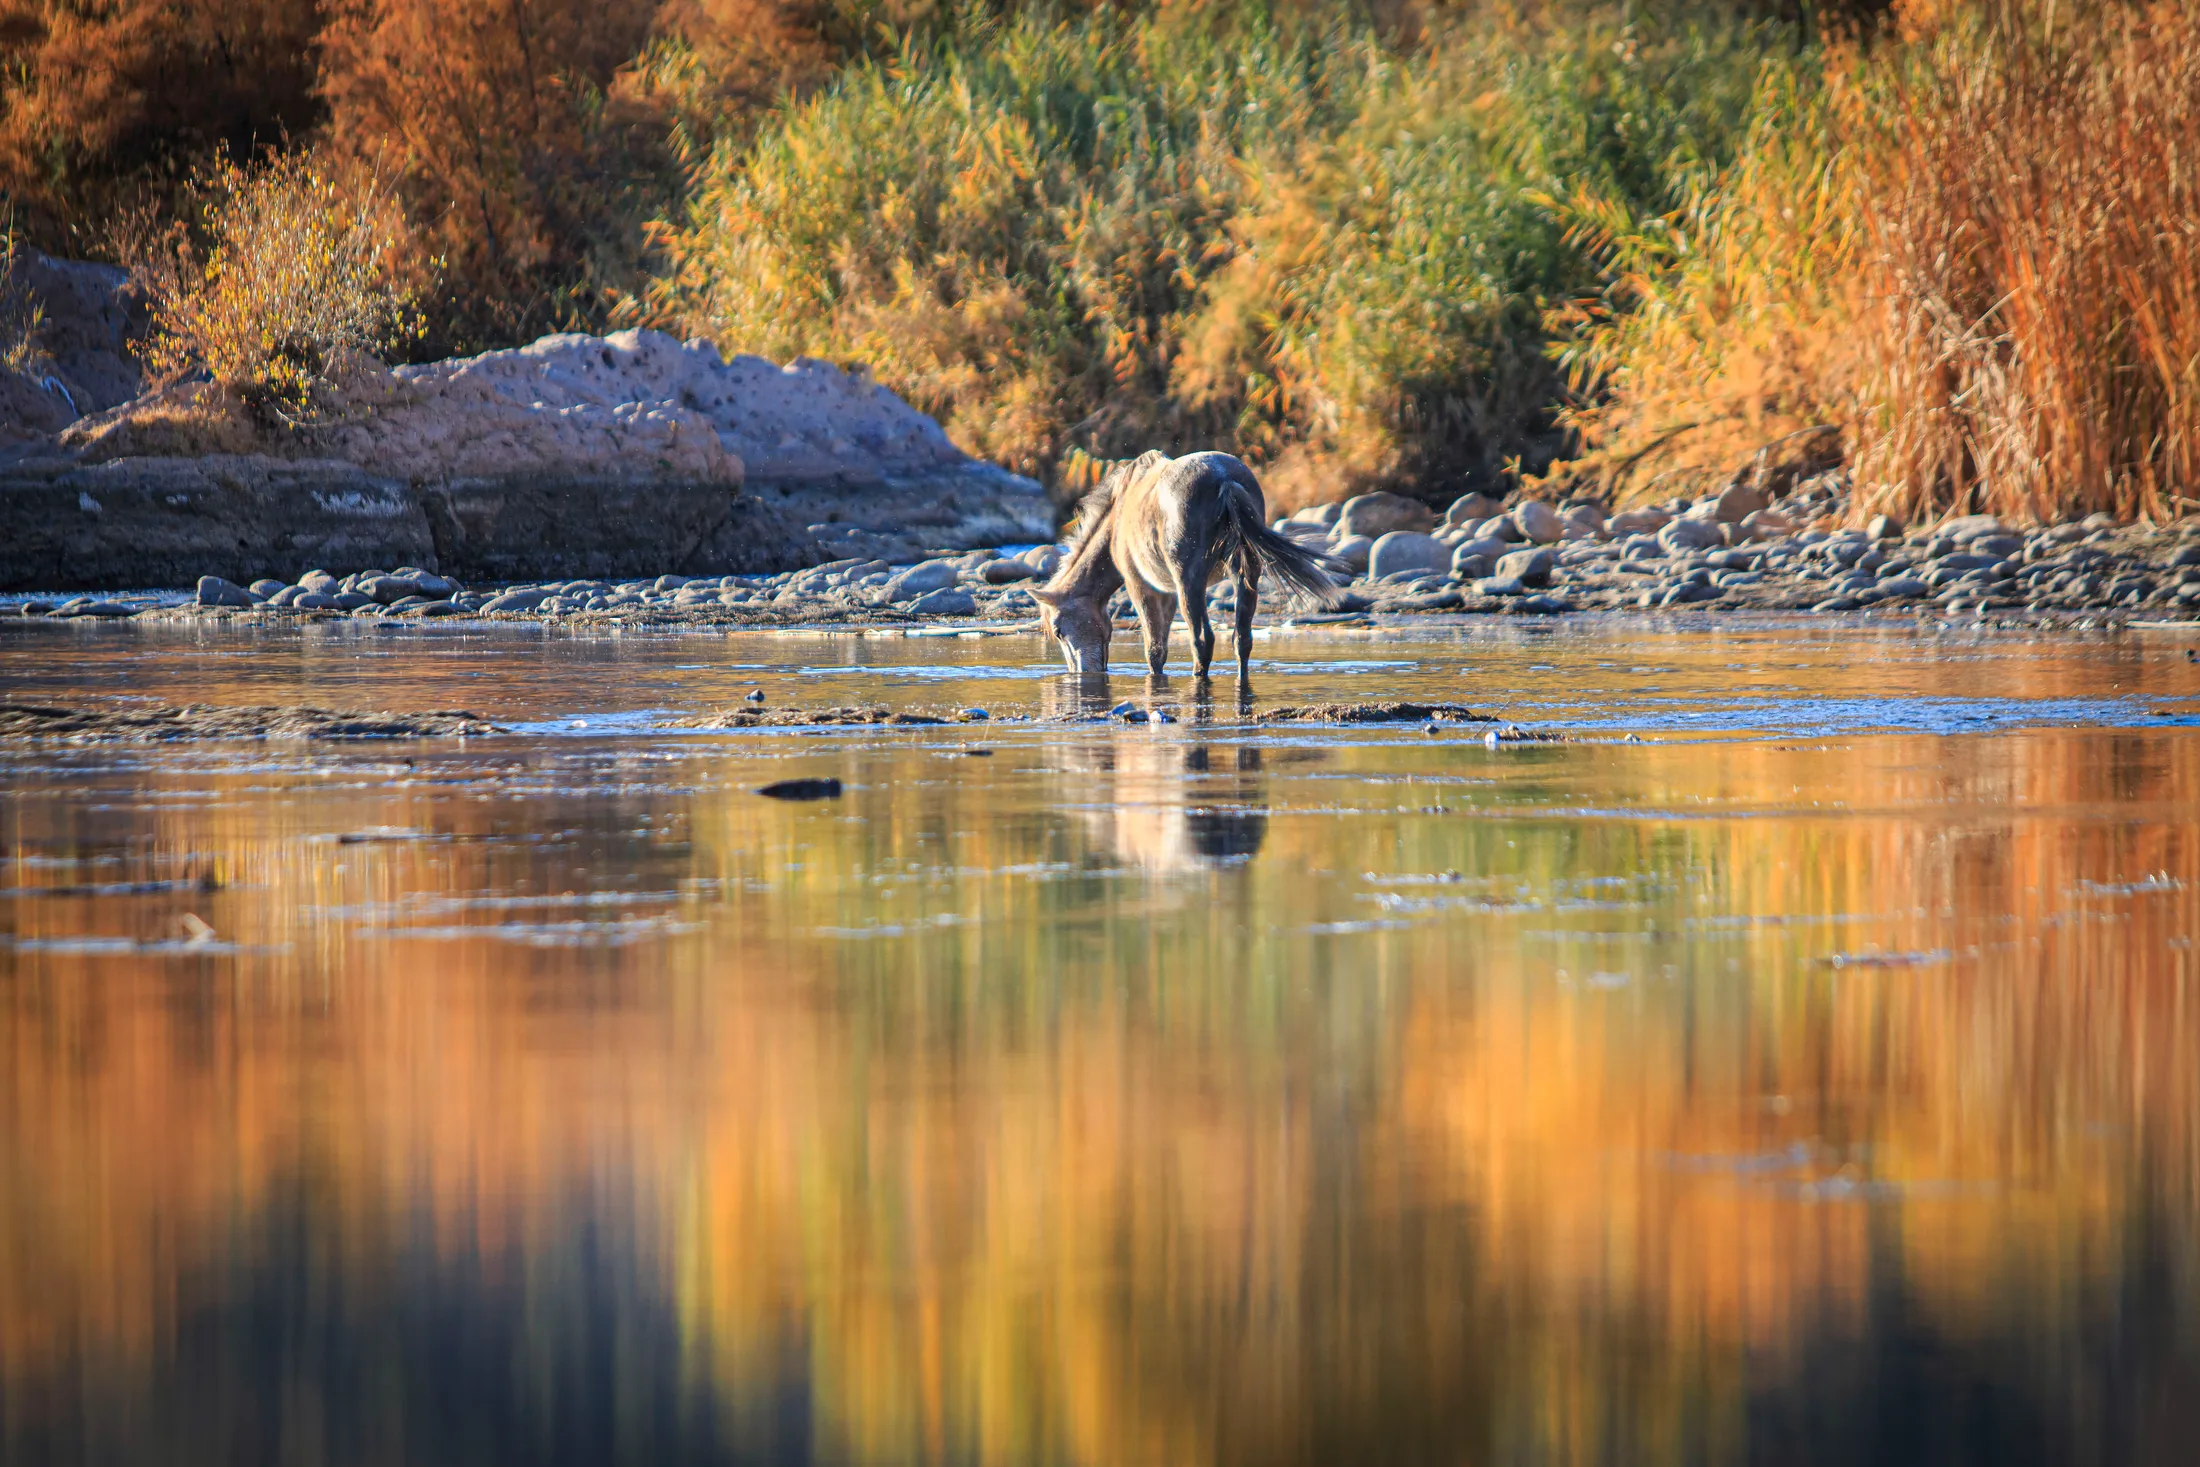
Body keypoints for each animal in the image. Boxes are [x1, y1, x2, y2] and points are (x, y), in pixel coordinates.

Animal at [1031, 451, 1343, 680]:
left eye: (1058, 631)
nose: (1082, 673)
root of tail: (1225, 480)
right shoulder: (1166, 592)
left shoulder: (1140, 585)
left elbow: (1154, 649)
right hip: (1245, 575)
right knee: (1242, 639)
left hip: (1189, 582)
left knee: (1202, 641)